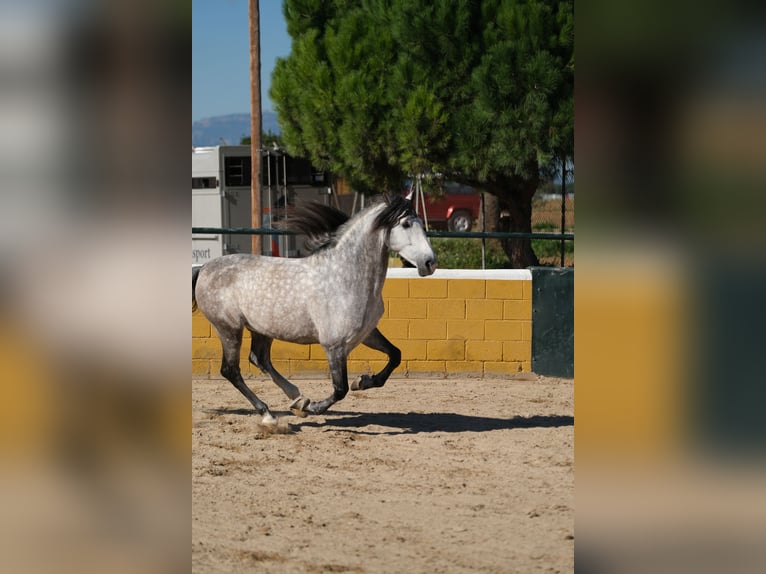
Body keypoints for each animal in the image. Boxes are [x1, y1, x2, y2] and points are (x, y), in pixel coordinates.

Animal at [190, 198, 438, 428]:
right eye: (406, 224)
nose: (430, 263)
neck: (345, 277)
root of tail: (204, 268)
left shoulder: (366, 334)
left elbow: (395, 355)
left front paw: (363, 381)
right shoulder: (334, 346)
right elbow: (340, 388)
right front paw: (314, 408)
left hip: (261, 329)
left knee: (259, 359)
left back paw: (296, 397)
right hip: (229, 329)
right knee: (231, 370)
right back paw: (269, 414)